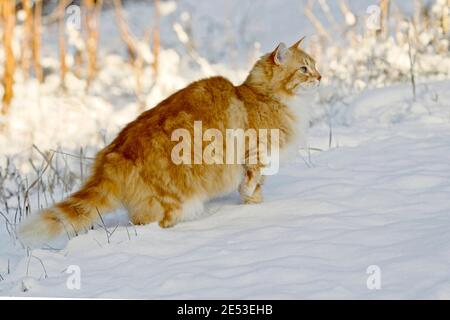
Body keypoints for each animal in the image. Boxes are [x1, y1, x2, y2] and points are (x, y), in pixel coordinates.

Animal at [17, 38, 320, 248]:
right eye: (304, 69)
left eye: (315, 65)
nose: (320, 77)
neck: (263, 95)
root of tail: (113, 154)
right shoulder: (255, 154)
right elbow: (251, 183)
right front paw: (255, 204)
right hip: (174, 202)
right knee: (151, 225)